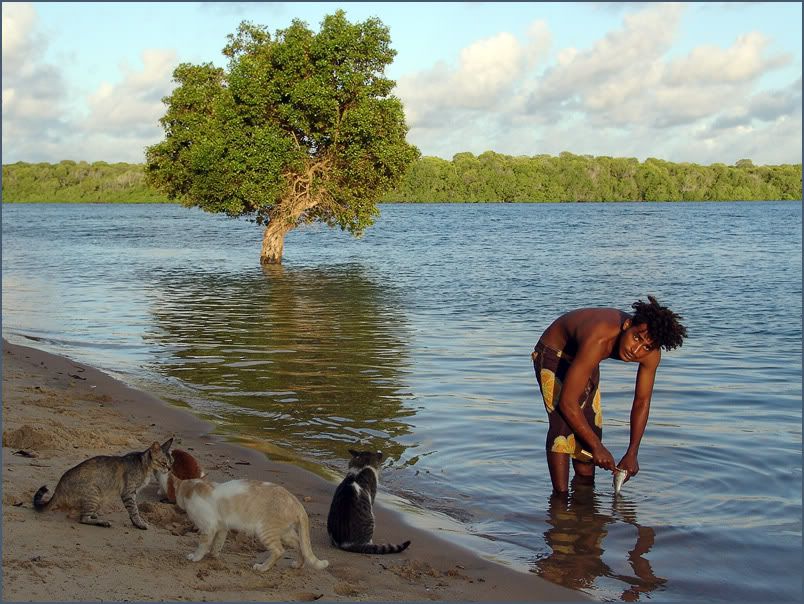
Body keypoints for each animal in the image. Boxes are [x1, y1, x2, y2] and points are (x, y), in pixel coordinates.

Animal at [33, 438, 171, 528]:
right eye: (164, 463)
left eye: (171, 462)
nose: (169, 469)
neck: (144, 465)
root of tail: (58, 488)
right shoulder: (129, 492)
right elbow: (134, 510)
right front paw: (139, 523)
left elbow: (133, 510)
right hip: (94, 493)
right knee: (83, 518)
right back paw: (102, 522)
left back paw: (95, 515)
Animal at [171, 476, 328, 572]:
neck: (194, 487)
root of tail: (297, 503)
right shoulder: (221, 528)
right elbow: (217, 544)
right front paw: (213, 555)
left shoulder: (208, 527)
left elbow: (202, 545)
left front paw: (196, 557)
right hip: (285, 533)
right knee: (300, 545)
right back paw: (298, 565)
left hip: (265, 531)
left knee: (279, 550)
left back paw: (263, 567)